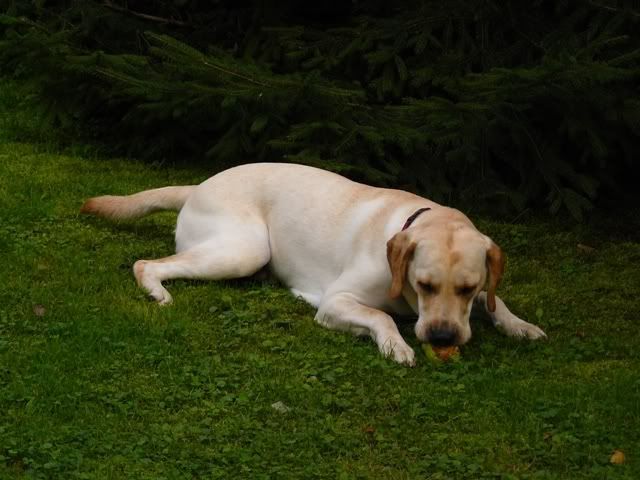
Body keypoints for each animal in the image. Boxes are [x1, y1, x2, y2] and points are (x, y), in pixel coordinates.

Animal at [81, 163, 546, 365]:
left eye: (468, 288)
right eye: (424, 284)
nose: (444, 337)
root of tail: (198, 185)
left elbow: (497, 302)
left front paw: (519, 324)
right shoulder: (336, 301)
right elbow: (380, 315)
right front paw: (395, 344)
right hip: (247, 248)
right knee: (146, 264)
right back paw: (156, 290)